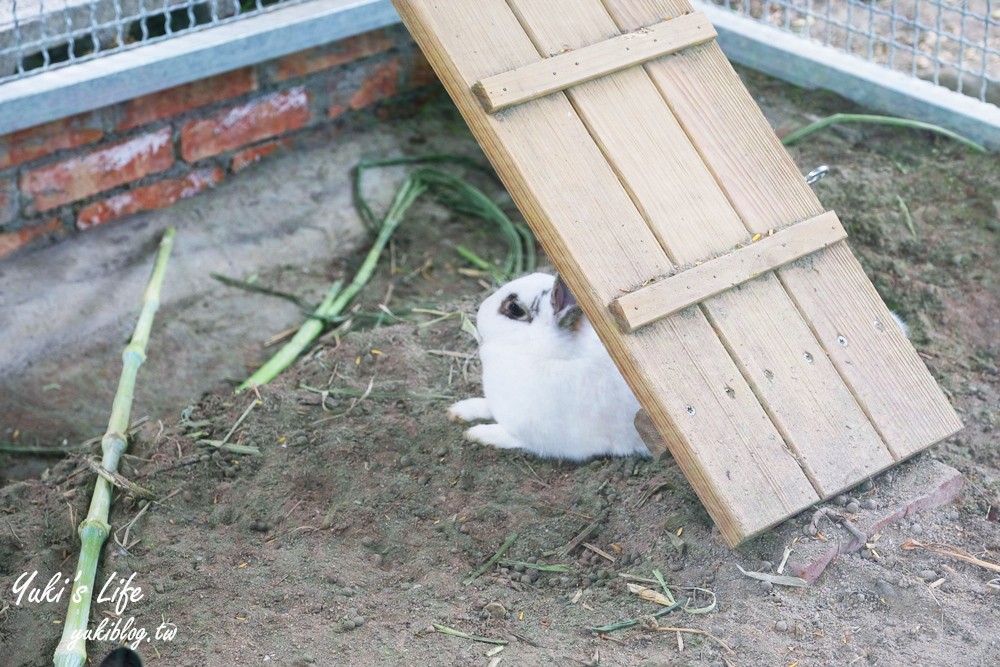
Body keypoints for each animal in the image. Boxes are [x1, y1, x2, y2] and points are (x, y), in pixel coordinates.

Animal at [452, 272, 652, 460]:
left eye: (515, 308)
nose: (480, 310)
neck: (547, 354)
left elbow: (508, 436)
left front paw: (478, 434)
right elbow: (486, 406)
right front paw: (459, 409)